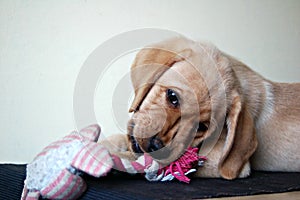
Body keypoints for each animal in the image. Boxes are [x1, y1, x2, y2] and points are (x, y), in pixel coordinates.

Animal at [101, 37, 300, 180]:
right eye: (172, 97)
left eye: (201, 127)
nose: (156, 147)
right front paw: (106, 143)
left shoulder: (226, 162)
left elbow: (145, 161)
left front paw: (117, 159)